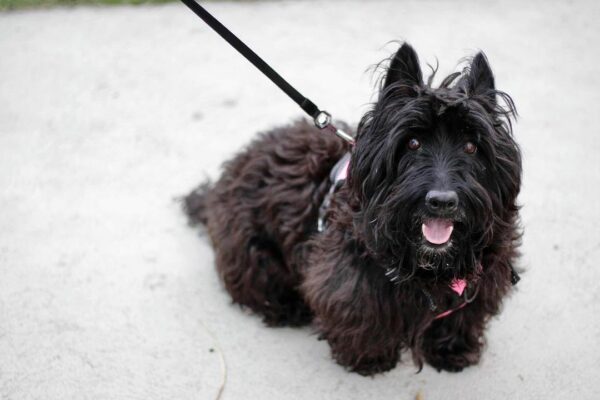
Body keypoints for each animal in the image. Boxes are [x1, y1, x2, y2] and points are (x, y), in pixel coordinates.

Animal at [184, 43, 520, 376]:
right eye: (412, 142)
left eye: (471, 146)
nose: (442, 201)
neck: (430, 264)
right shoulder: (349, 278)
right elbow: (362, 316)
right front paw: (370, 359)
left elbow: (462, 314)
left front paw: (452, 350)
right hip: (250, 248)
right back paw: (288, 307)